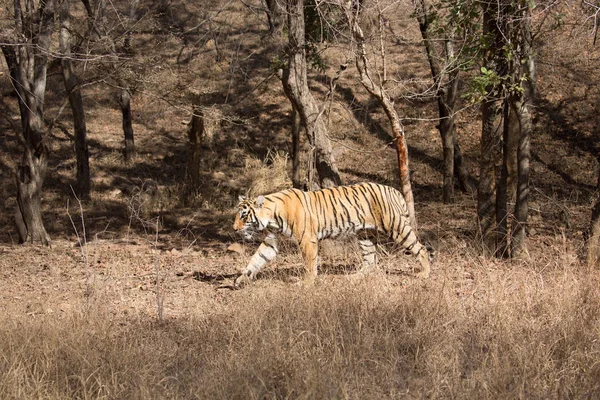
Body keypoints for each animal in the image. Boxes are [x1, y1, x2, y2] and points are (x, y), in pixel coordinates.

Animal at [232, 181, 434, 288]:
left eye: (243, 215)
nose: (234, 228)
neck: (272, 217)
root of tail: (394, 190)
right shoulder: (271, 240)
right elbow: (257, 258)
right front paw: (241, 279)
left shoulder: (307, 240)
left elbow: (310, 264)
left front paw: (307, 282)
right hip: (365, 235)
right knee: (370, 260)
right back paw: (352, 278)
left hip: (395, 226)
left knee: (420, 247)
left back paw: (424, 273)